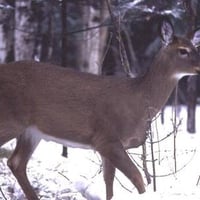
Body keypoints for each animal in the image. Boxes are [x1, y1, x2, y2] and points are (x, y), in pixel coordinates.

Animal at [0, 20, 199, 200]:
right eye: (183, 50)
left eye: (196, 47)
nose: (199, 66)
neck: (138, 101)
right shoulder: (106, 139)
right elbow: (137, 178)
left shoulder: (109, 145)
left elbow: (109, 183)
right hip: (10, 120)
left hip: (31, 131)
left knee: (16, 162)